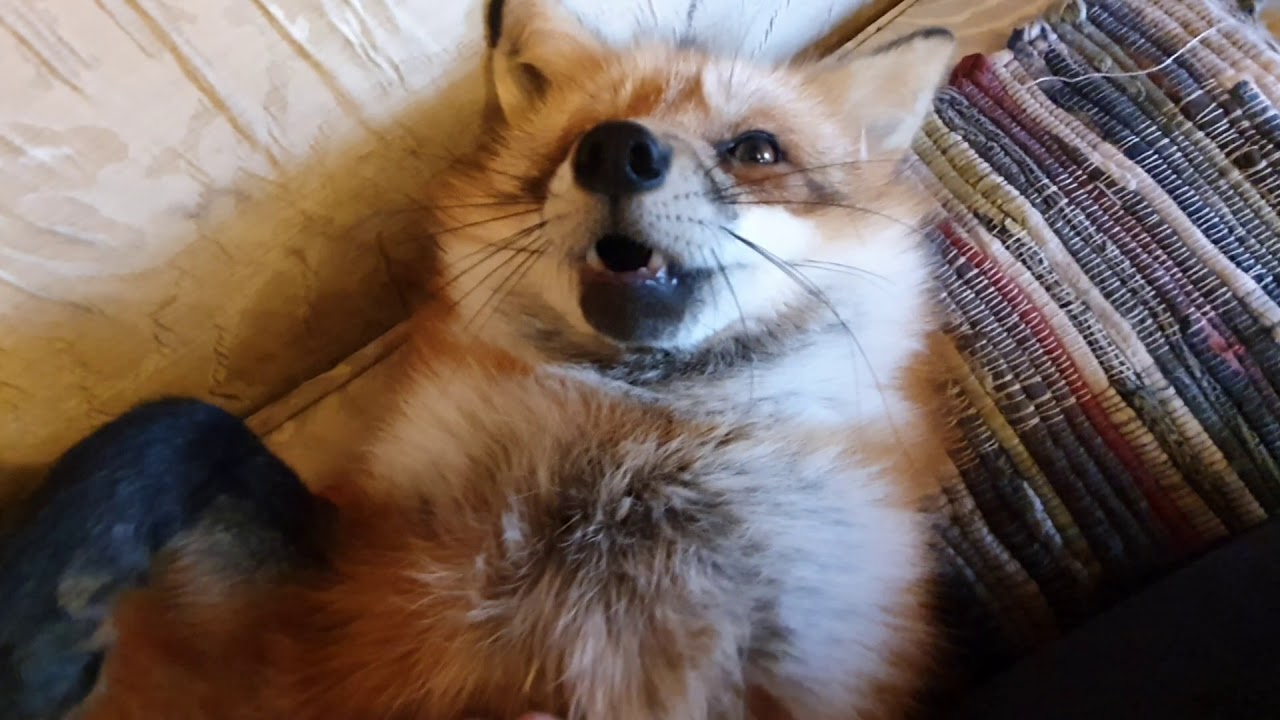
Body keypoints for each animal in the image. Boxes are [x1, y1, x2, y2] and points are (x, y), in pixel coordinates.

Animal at [0, 1, 957, 718]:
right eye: (576, 140)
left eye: (757, 149)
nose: (616, 149)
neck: (633, 457)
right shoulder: (334, 613)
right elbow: (176, 430)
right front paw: (41, 626)